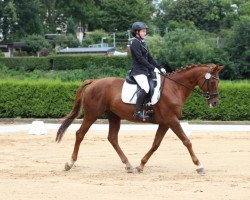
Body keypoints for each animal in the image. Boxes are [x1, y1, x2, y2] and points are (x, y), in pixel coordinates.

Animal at [56, 63, 223, 174]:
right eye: (212, 82)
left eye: (218, 81)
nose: (215, 102)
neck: (174, 88)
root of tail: (94, 81)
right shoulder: (171, 120)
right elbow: (186, 141)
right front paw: (199, 166)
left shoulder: (165, 123)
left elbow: (156, 144)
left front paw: (141, 165)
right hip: (92, 115)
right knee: (80, 134)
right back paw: (69, 163)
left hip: (114, 116)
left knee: (112, 138)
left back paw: (128, 165)